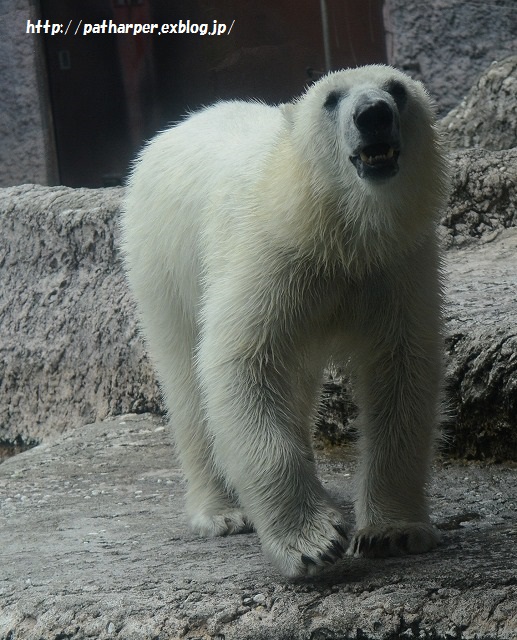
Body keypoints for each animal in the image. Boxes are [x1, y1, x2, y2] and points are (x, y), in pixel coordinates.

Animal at [120, 66, 448, 580]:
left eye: (397, 90)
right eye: (331, 99)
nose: (372, 114)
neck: (339, 231)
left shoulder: (395, 266)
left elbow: (402, 369)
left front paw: (394, 532)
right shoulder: (272, 254)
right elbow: (240, 363)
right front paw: (313, 542)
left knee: (297, 380)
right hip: (163, 261)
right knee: (187, 380)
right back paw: (223, 511)